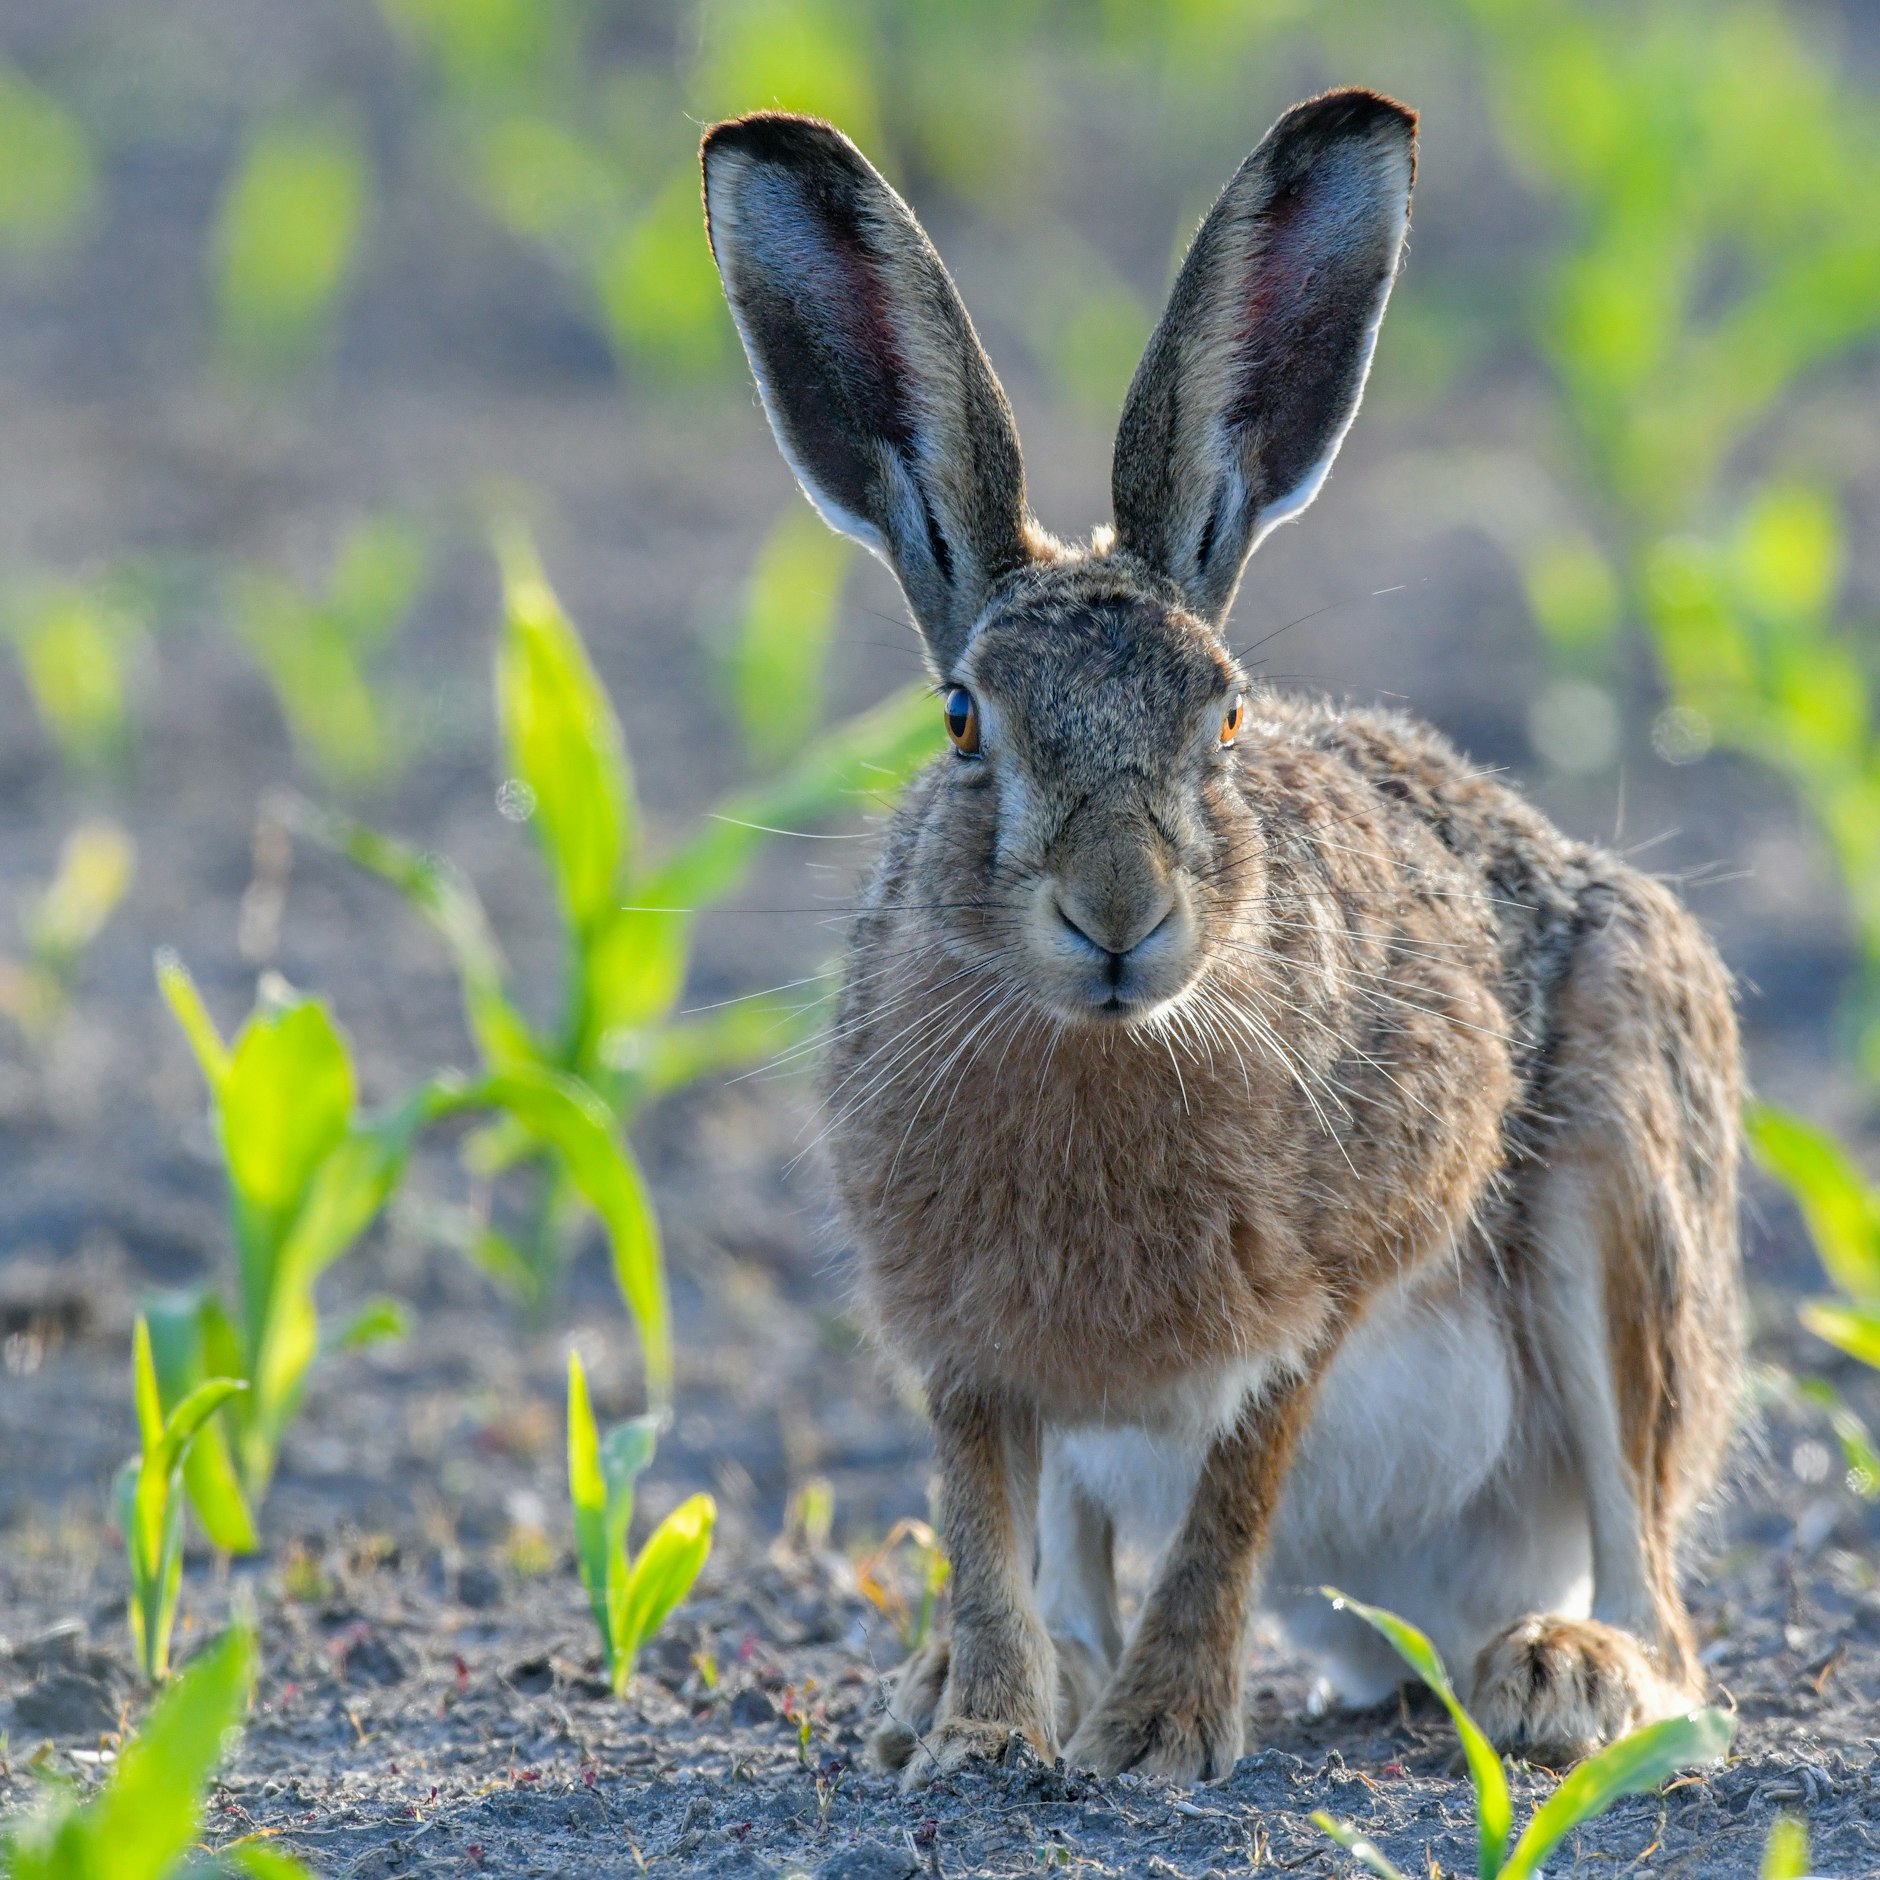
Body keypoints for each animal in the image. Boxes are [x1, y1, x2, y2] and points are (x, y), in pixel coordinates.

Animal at [701, 88, 1742, 1789]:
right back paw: (969, 1687)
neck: (1103, 1046)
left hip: (1625, 1171)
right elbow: (979, 1520)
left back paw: (1565, 1675)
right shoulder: (959, 1331)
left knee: (1656, 1574)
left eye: (1231, 717)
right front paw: (984, 1732)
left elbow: (1236, 1486)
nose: (1119, 911)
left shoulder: (1324, 1285)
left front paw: (1157, 1737)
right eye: (962, 721)